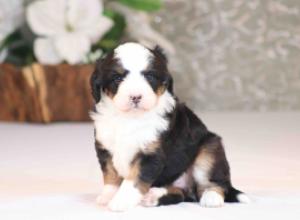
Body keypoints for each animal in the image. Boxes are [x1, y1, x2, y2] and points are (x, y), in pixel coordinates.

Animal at [90, 41, 250, 211]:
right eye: (117, 78)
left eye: (150, 76)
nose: (136, 97)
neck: (129, 118)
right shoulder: (105, 149)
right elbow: (110, 176)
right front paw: (108, 196)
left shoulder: (150, 155)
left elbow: (133, 180)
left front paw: (120, 201)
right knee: (180, 194)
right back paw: (153, 196)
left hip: (210, 148)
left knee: (216, 182)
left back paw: (211, 197)